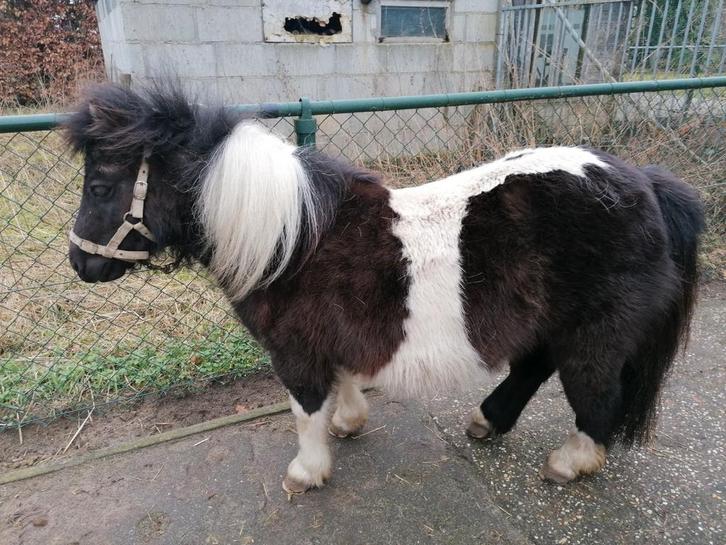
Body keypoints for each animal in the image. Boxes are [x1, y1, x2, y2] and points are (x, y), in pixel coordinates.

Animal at [65, 84, 704, 493]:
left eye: (100, 186)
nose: (79, 263)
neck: (292, 236)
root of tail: (645, 184)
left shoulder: (294, 351)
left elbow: (304, 409)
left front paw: (308, 472)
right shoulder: (331, 337)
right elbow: (344, 381)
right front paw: (349, 423)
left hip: (595, 330)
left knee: (595, 395)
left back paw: (570, 462)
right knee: (534, 367)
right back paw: (488, 421)